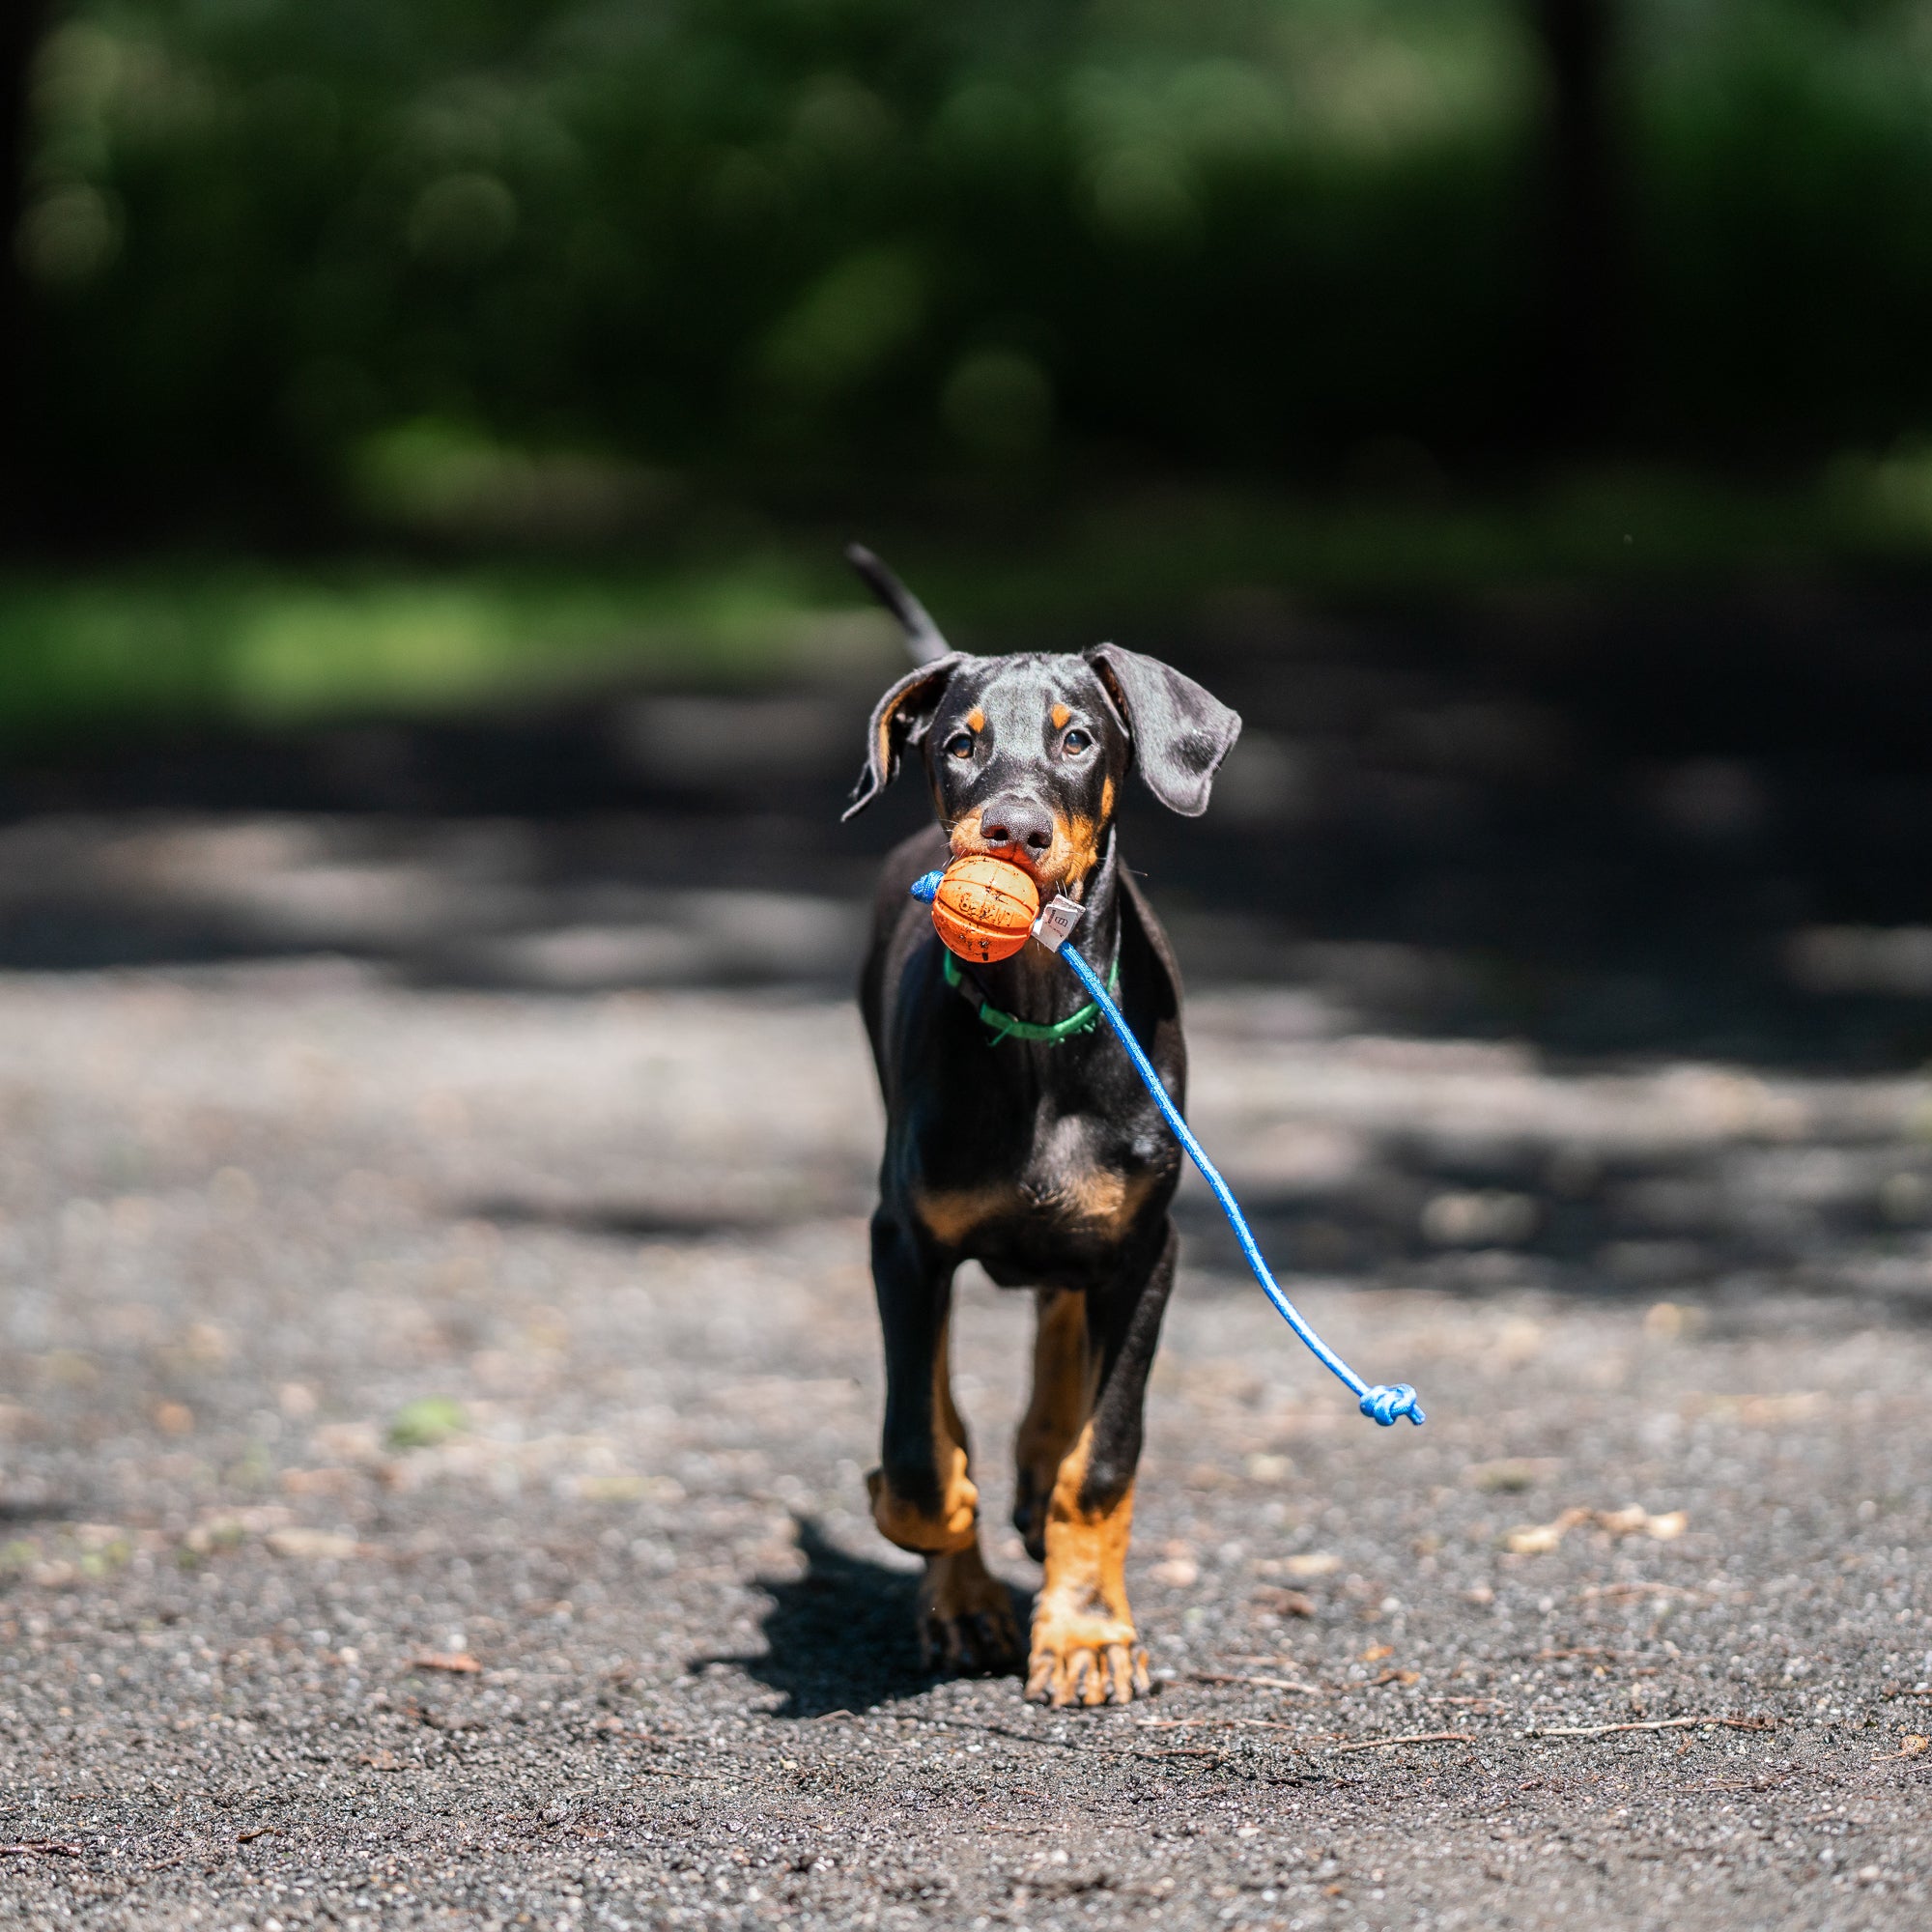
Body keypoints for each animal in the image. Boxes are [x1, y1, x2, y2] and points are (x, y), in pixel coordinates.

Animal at [842, 549, 1236, 1708]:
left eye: (1076, 739)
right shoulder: (904, 1241)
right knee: (941, 1398)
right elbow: (920, 1451)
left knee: (1061, 1329)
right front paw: (948, 1548)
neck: (1035, 1022)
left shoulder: (1149, 1250)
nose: (1011, 830)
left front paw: (1088, 1631)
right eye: (960, 743)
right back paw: (965, 1585)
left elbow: (1102, 1457)